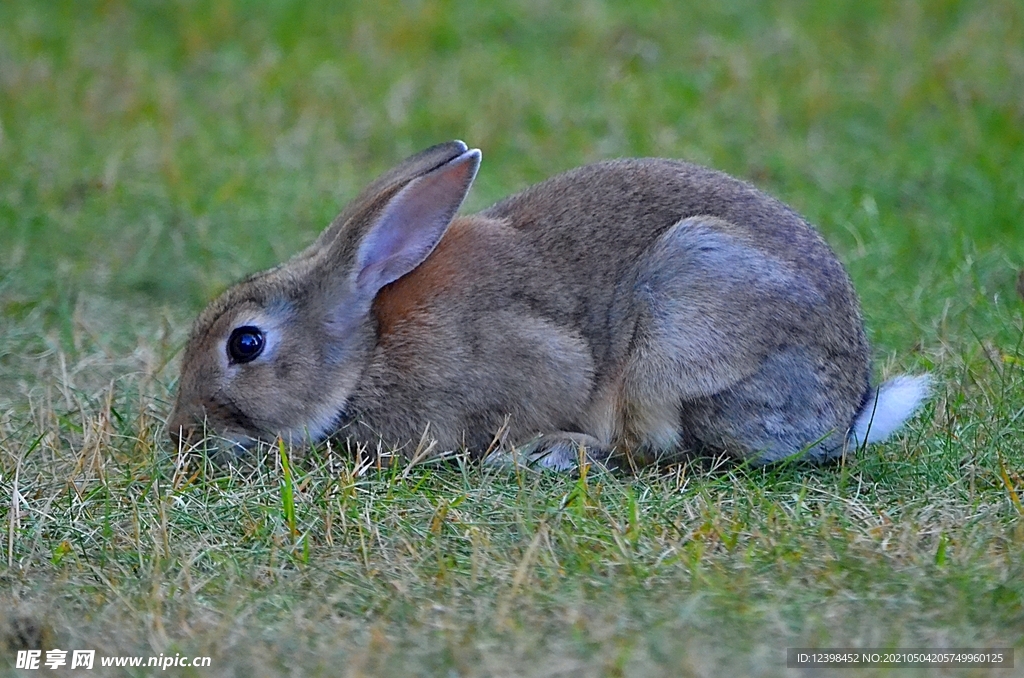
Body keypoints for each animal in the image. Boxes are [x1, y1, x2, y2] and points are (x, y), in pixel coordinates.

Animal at [169, 138, 929, 467]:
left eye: (245, 344)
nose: (183, 432)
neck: (364, 353)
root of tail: (845, 412)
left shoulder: (537, 359)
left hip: (679, 322)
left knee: (641, 440)